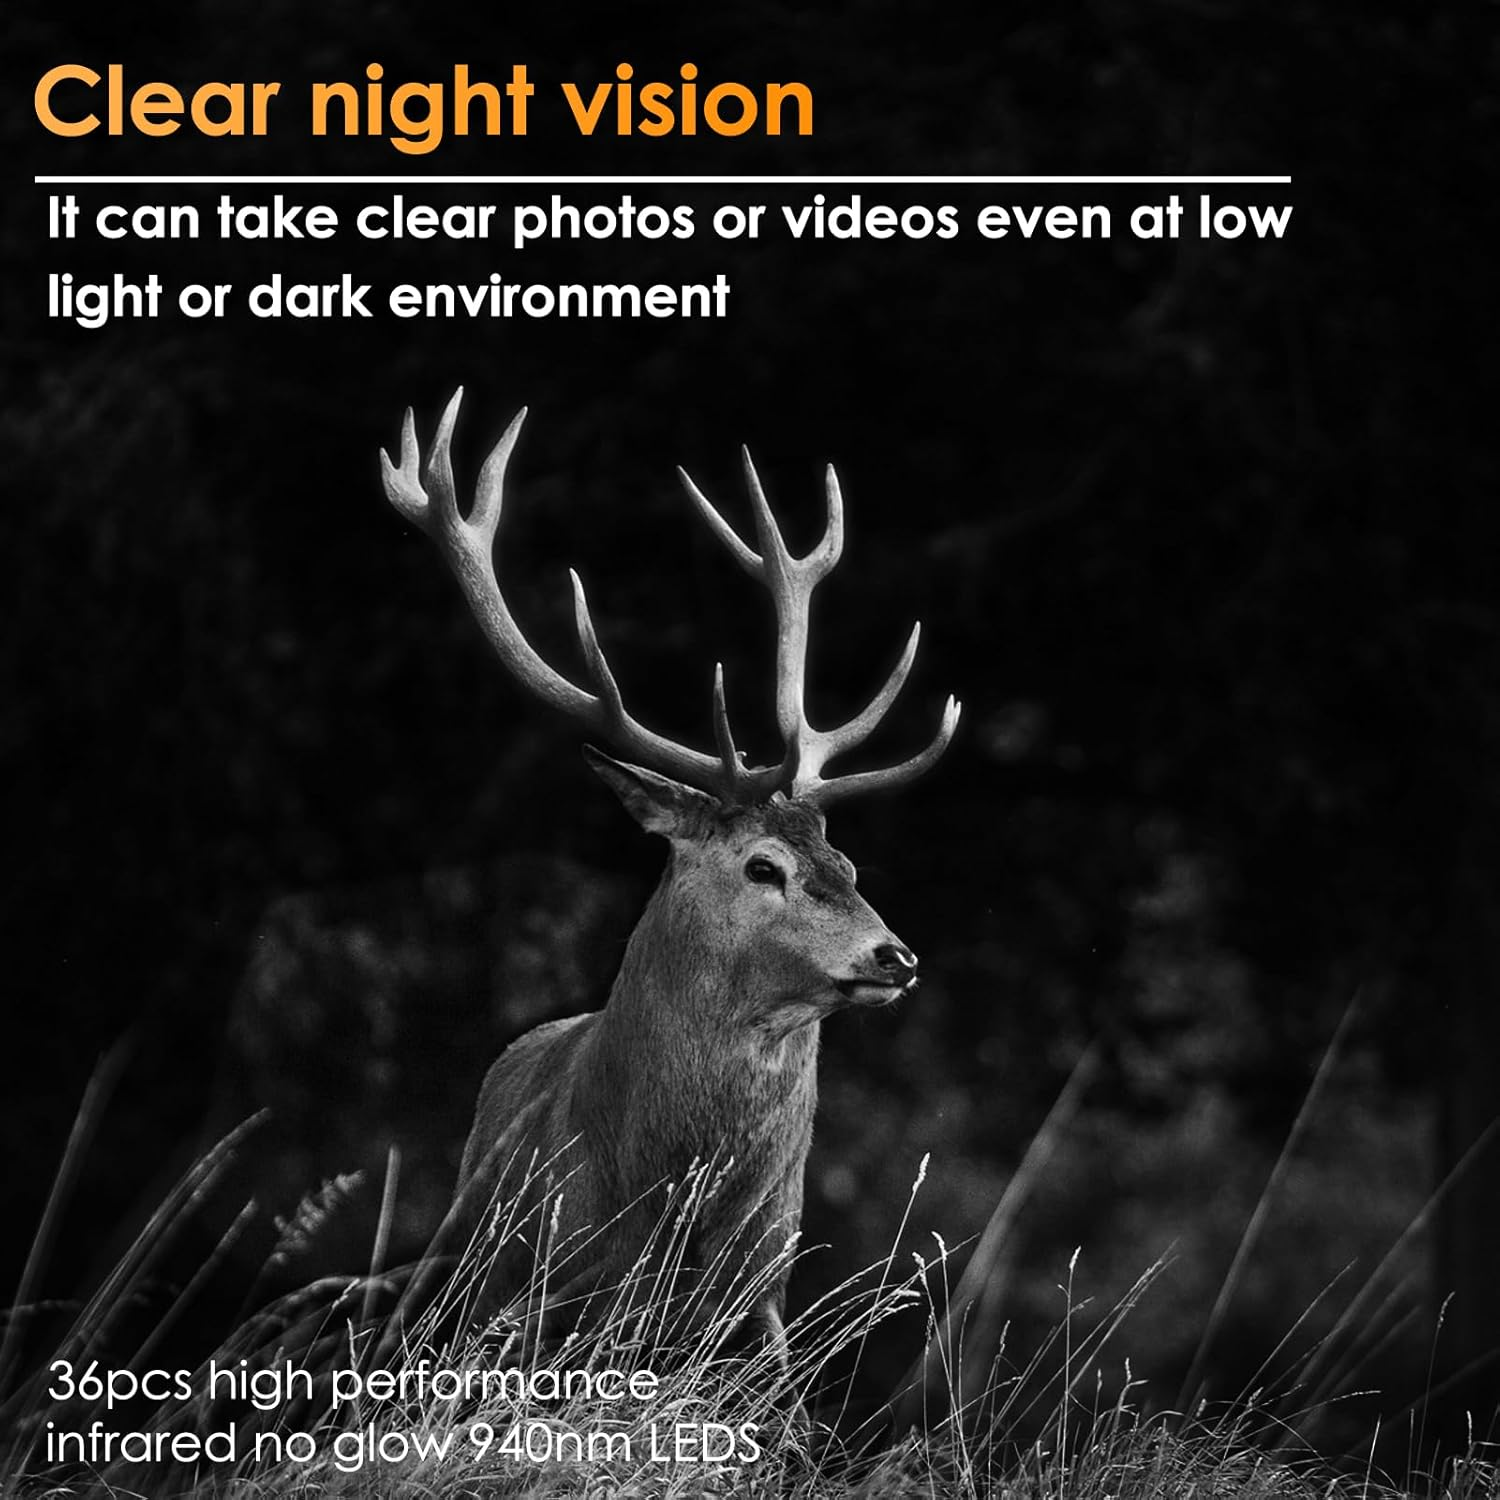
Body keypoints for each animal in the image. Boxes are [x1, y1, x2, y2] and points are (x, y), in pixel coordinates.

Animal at [379, 389, 959, 1370]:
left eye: (847, 864)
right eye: (764, 865)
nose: (898, 957)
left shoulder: (760, 1308)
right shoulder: (540, 1294)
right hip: (458, 1275)